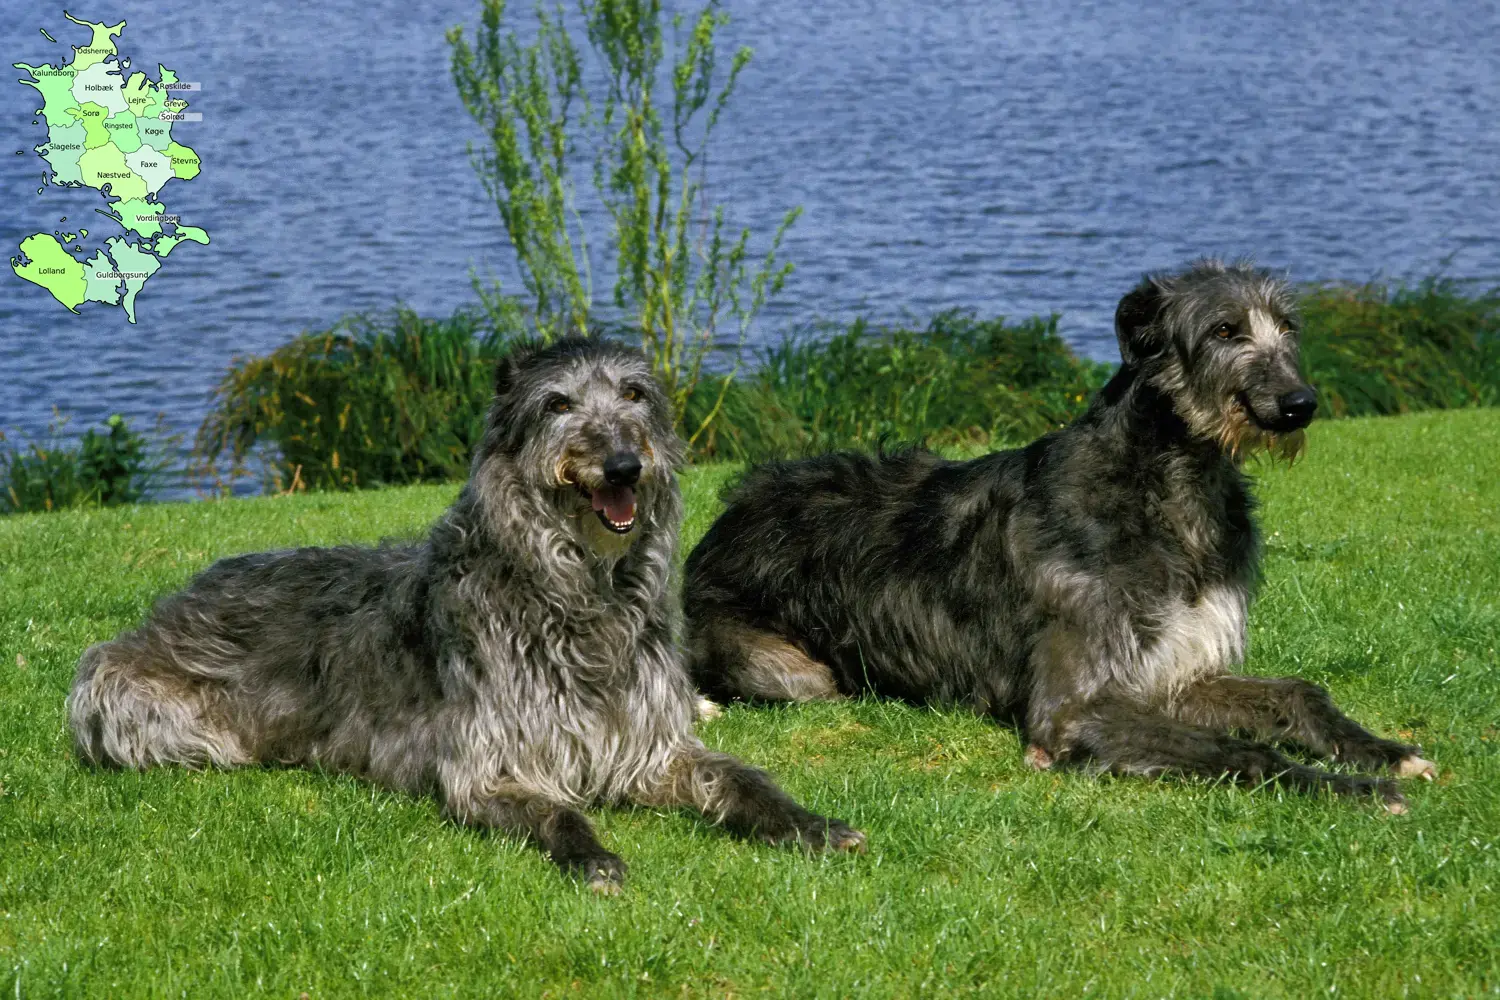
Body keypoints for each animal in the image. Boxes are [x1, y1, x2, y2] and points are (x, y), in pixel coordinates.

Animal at [70, 338, 870, 893]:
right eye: (557, 404)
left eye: (635, 394)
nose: (623, 465)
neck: (576, 595)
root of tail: (178, 597)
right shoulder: (489, 767)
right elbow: (556, 810)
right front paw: (594, 857)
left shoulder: (650, 746)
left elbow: (741, 781)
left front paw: (810, 824)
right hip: (139, 707)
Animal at [687, 260, 1434, 815]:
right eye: (1224, 330)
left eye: (1289, 326)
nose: (1300, 404)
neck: (1167, 489)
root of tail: (723, 521)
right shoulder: (1073, 706)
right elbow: (1232, 750)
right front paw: (1348, 787)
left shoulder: (1175, 672)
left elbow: (1296, 693)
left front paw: (1385, 751)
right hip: (792, 671)